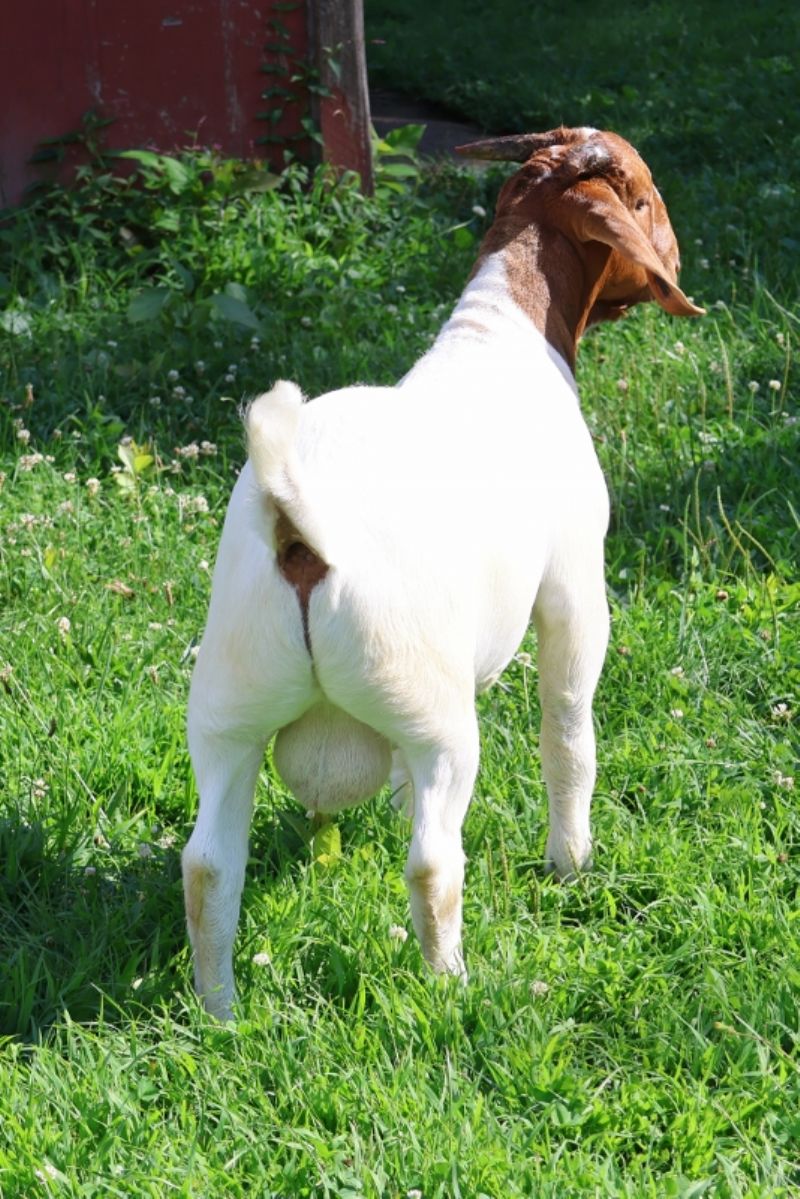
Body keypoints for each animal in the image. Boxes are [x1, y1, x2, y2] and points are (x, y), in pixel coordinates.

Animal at [183, 125, 703, 1019]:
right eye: (644, 198)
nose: (678, 256)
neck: (503, 332)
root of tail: (296, 527)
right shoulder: (574, 589)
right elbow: (569, 734)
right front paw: (572, 860)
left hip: (229, 709)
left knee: (210, 863)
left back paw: (219, 1015)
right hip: (435, 716)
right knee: (432, 860)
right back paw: (451, 983)